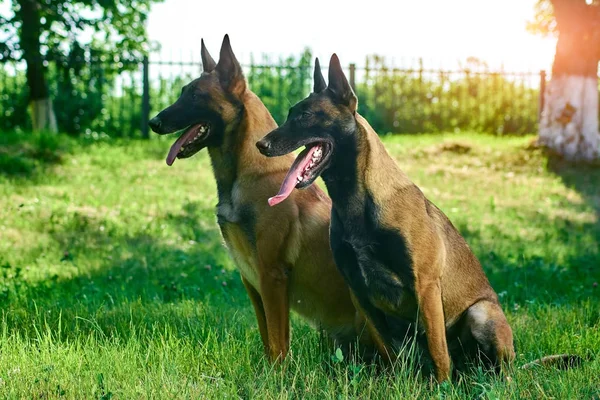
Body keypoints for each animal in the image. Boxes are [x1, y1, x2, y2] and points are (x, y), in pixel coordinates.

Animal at [146, 37, 376, 362]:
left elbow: (279, 343)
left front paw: (277, 373)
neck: (247, 173)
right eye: (182, 93)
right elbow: (268, 339)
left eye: (195, 96)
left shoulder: (272, 277)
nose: (153, 122)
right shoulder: (252, 281)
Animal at [258, 54, 516, 382]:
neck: (356, 201)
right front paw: (398, 382)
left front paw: (442, 387)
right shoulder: (361, 293)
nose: (261, 145)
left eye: (304, 116)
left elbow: (438, 350)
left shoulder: (426, 286)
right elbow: (390, 350)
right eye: (290, 114)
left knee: (496, 368)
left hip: (481, 312)